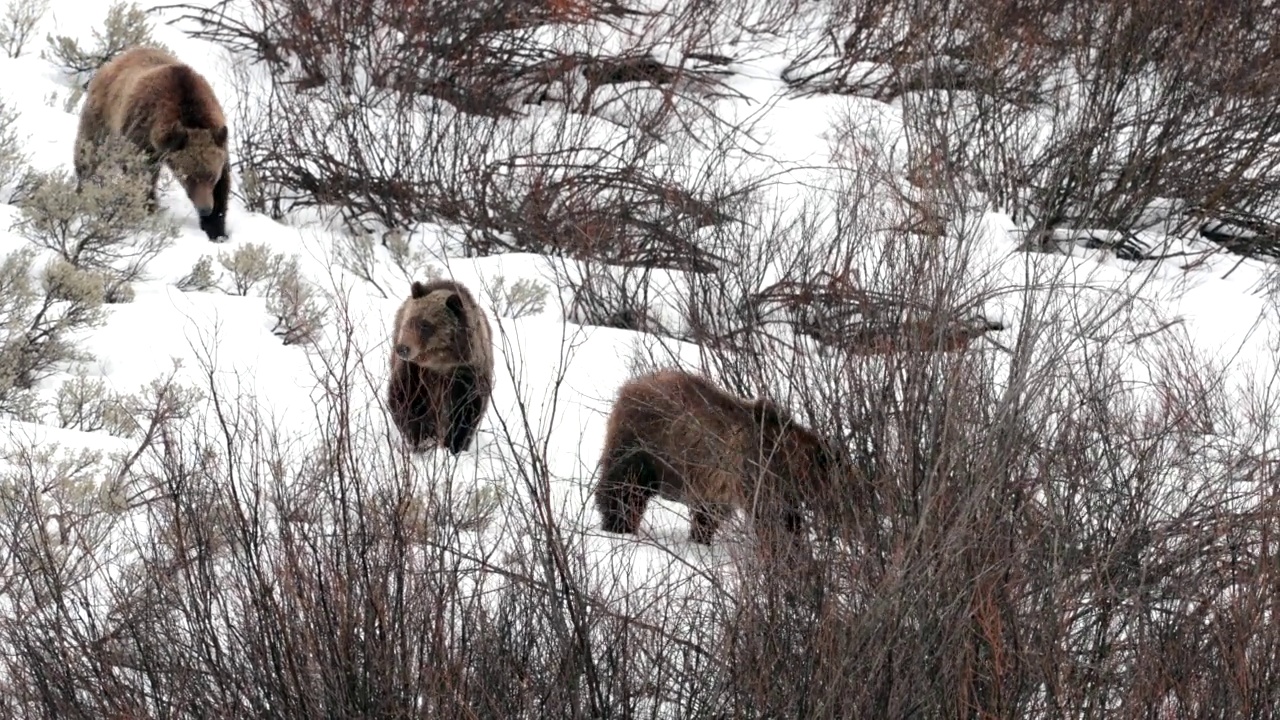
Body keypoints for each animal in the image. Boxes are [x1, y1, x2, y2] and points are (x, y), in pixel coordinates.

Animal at [74, 47, 232, 240]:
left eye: (211, 177)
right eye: (189, 178)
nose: (205, 209)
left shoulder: (218, 138)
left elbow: (223, 187)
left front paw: (216, 229)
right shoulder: (141, 132)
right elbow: (140, 173)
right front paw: (147, 208)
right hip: (102, 116)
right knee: (89, 151)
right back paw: (84, 187)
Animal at [384, 279, 494, 453]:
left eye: (425, 325)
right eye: (410, 320)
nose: (402, 348)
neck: (439, 363)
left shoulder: (465, 372)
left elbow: (465, 410)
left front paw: (454, 445)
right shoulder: (415, 371)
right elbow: (406, 400)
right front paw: (423, 439)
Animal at [591, 368, 839, 543]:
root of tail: (629, 386)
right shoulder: (757, 473)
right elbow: (771, 518)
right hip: (645, 446)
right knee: (624, 490)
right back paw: (619, 526)